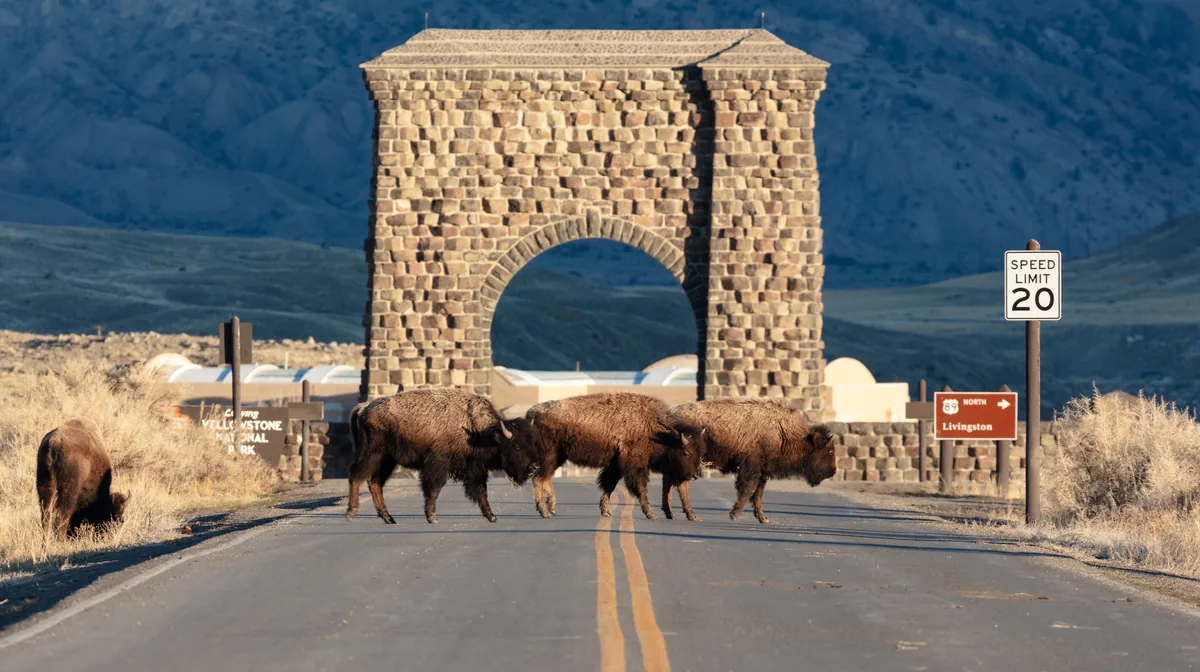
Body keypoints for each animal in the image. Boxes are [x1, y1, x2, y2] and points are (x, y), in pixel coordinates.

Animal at [345, 388, 539, 524]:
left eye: (531, 443)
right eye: (516, 446)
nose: (534, 467)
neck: (474, 427)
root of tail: (363, 408)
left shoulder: (475, 469)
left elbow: (481, 492)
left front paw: (492, 517)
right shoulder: (438, 464)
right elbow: (435, 488)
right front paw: (432, 517)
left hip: (387, 461)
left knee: (374, 483)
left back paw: (388, 518)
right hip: (373, 454)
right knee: (356, 476)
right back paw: (351, 512)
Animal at [525, 392, 706, 520]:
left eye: (701, 452)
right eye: (686, 452)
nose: (695, 475)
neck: (655, 429)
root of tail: (532, 413)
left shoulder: (615, 466)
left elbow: (609, 486)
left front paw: (605, 511)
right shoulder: (634, 465)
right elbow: (641, 488)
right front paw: (650, 513)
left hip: (557, 458)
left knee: (544, 478)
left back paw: (551, 508)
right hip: (549, 457)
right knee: (539, 479)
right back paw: (545, 512)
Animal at [666, 398, 835, 524]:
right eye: (830, 450)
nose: (833, 472)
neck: (783, 431)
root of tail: (671, 412)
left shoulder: (763, 472)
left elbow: (757, 494)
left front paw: (763, 518)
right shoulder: (750, 468)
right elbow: (748, 490)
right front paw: (733, 514)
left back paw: (682, 514)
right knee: (682, 484)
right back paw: (690, 515)